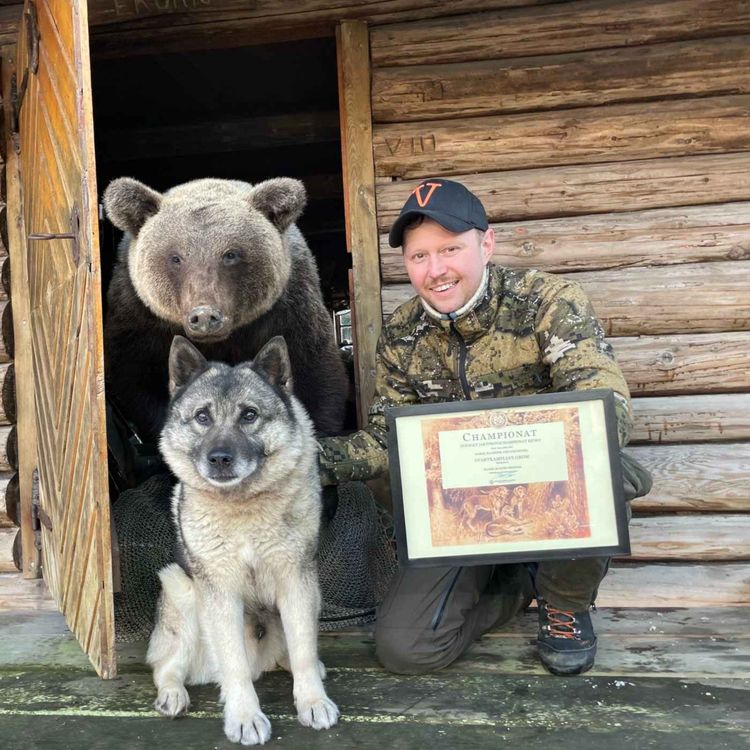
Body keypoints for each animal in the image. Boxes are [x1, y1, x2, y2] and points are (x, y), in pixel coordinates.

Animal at [102, 178, 350, 444]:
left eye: (230, 254)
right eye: (175, 257)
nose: (204, 316)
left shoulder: (288, 310)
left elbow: (314, 371)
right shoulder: (140, 319)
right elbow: (138, 378)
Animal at [146, 336, 338, 748]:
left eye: (249, 415)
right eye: (202, 417)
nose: (220, 458)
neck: (243, 505)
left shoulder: (296, 581)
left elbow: (302, 649)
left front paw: (312, 702)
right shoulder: (219, 592)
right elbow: (232, 665)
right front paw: (245, 716)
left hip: (311, 595)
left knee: (294, 653)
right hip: (181, 591)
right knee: (166, 667)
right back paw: (173, 694)